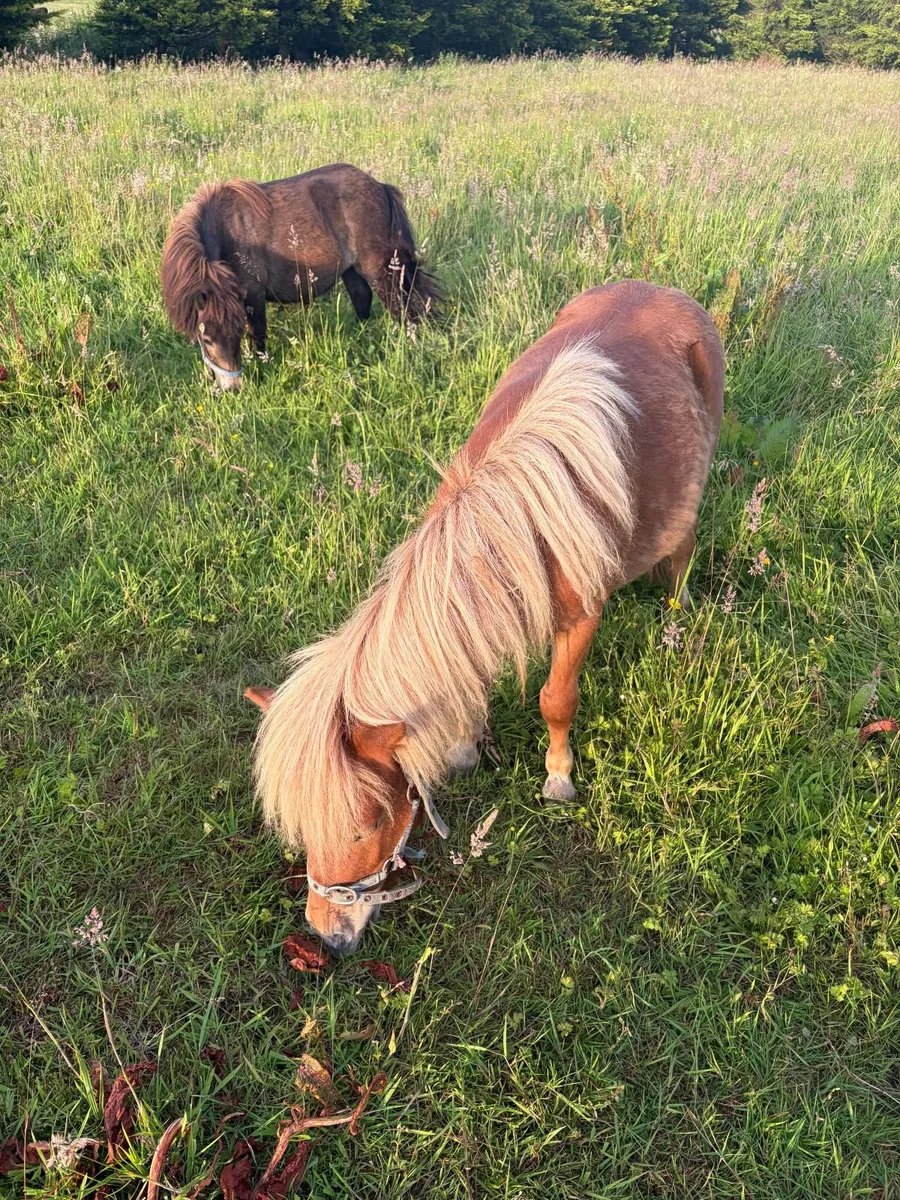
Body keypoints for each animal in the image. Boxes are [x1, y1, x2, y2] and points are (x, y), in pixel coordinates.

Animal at [160, 163, 440, 392]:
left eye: (236, 333)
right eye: (207, 339)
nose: (233, 388)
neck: (226, 229)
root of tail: (380, 186)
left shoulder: (253, 296)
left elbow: (258, 335)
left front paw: (263, 366)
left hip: (381, 272)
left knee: (402, 312)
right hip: (352, 271)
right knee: (363, 301)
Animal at [245, 280, 725, 953]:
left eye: (366, 827)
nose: (326, 936)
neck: (514, 524)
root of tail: (665, 291)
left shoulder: (579, 620)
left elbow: (556, 700)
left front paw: (558, 777)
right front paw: (466, 746)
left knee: (680, 558)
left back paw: (677, 626)